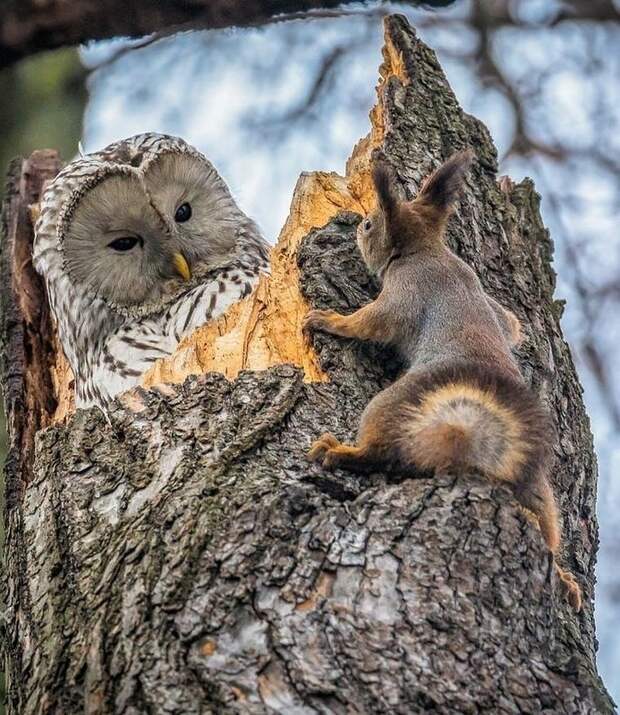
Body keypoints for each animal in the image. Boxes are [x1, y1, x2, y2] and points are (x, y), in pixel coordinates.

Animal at [304, 150, 580, 608]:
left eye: (370, 225)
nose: (356, 224)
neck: (427, 251)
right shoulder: (489, 299)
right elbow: (512, 324)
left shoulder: (405, 292)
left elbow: (371, 323)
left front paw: (328, 320)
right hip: (534, 482)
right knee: (545, 525)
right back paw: (564, 577)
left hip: (393, 404)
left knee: (381, 453)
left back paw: (340, 452)